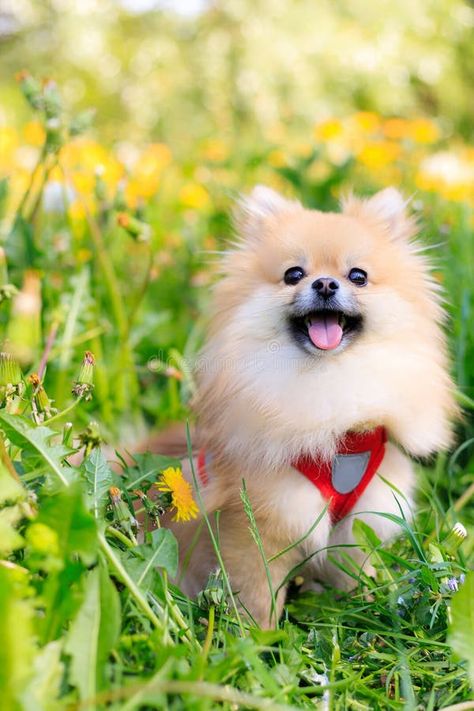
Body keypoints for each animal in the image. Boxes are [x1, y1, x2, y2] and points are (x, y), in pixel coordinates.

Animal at [169, 186, 456, 624]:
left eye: (358, 276)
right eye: (293, 274)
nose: (324, 283)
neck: (328, 384)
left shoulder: (358, 523)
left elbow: (355, 577)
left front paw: (361, 609)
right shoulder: (258, 526)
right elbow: (257, 596)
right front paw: (256, 636)